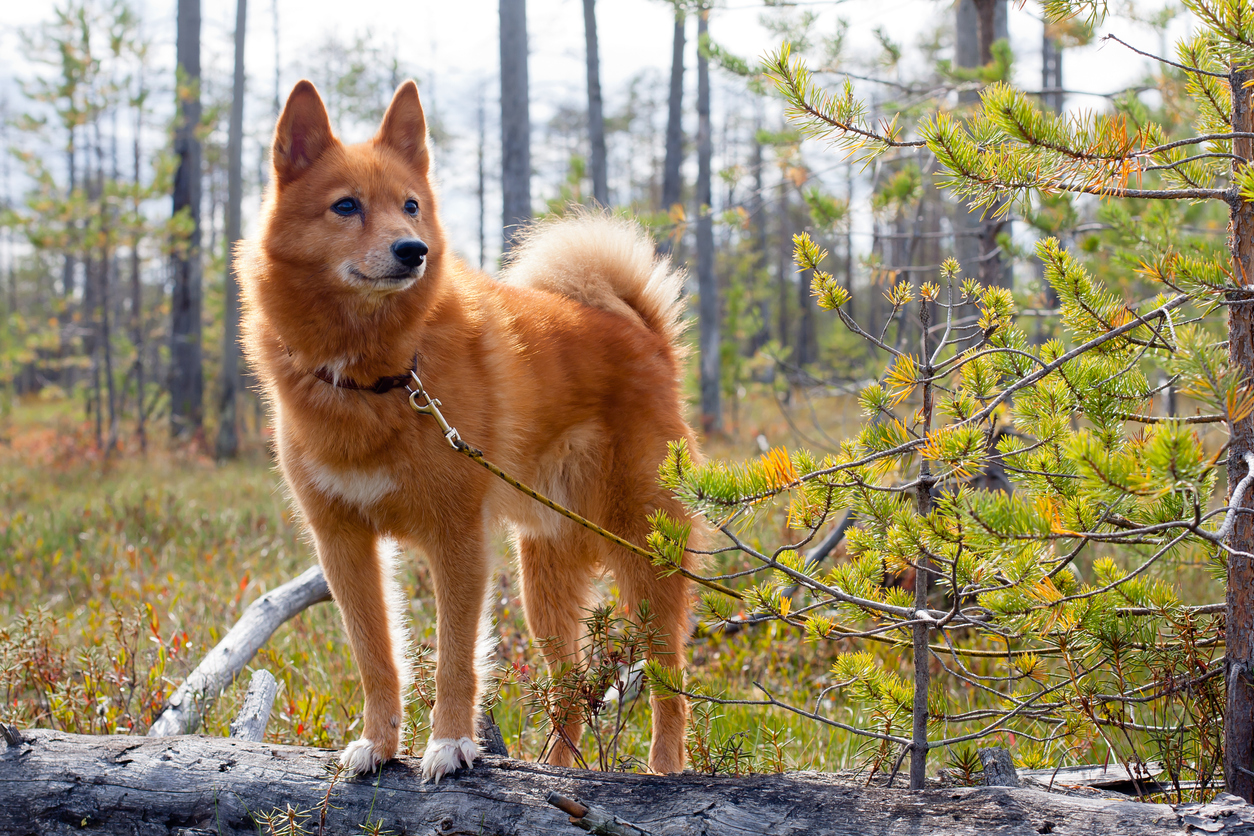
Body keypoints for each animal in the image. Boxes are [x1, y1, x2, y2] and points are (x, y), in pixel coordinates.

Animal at [239, 81, 702, 782]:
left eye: (411, 206)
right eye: (345, 206)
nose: (414, 250)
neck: (380, 376)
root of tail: (644, 336)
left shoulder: (456, 539)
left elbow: (457, 659)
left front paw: (450, 743)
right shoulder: (343, 544)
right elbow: (377, 658)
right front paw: (377, 743)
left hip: (643, 553)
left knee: (671, 682)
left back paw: (665, 770)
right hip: (545, 580)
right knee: (569, 691)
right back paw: (555, 769)